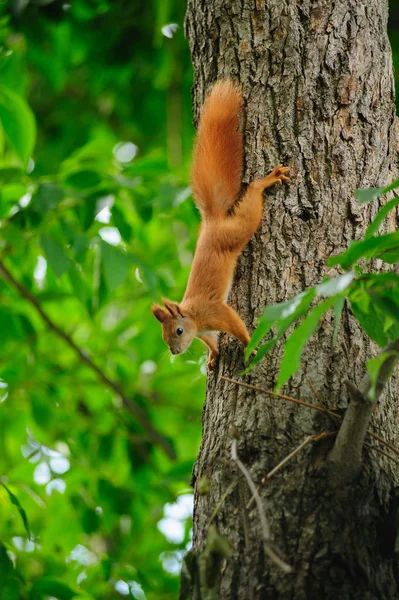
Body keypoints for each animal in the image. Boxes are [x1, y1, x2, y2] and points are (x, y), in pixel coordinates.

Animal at [152, 78, 290, 370]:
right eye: (163, 337)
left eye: (178, 331)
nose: (174, 352)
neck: (194, 317)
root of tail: (212, 222)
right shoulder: (205, 331)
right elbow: (211, 341)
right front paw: (213, 357)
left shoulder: (215, 312)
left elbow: (235, 324)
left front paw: (249, 345)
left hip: (237, 230)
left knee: (251, 204)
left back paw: (265, 181)